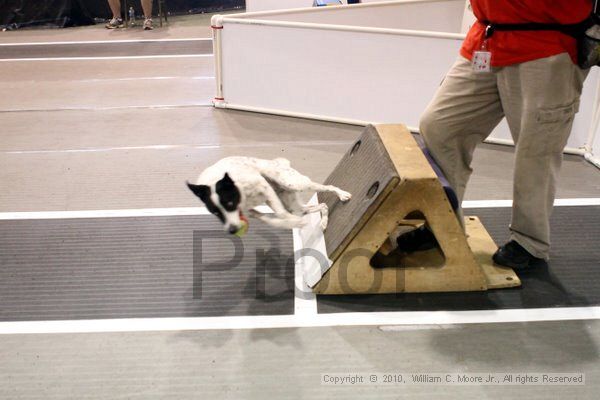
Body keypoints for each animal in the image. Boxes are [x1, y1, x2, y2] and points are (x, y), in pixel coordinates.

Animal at [185, 155, 350, 233]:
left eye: (229, 203)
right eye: (215, 212)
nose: (232, 231)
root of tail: (280, 163)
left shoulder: (265, 189)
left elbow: (281, 215)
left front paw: (295, 222)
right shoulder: (252, 211)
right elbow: (272, 220)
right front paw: (293, 223)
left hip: (294, 183)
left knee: (327, 187)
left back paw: (343, 194)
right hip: (292, 204)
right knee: (323, 205)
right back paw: (323, 222)